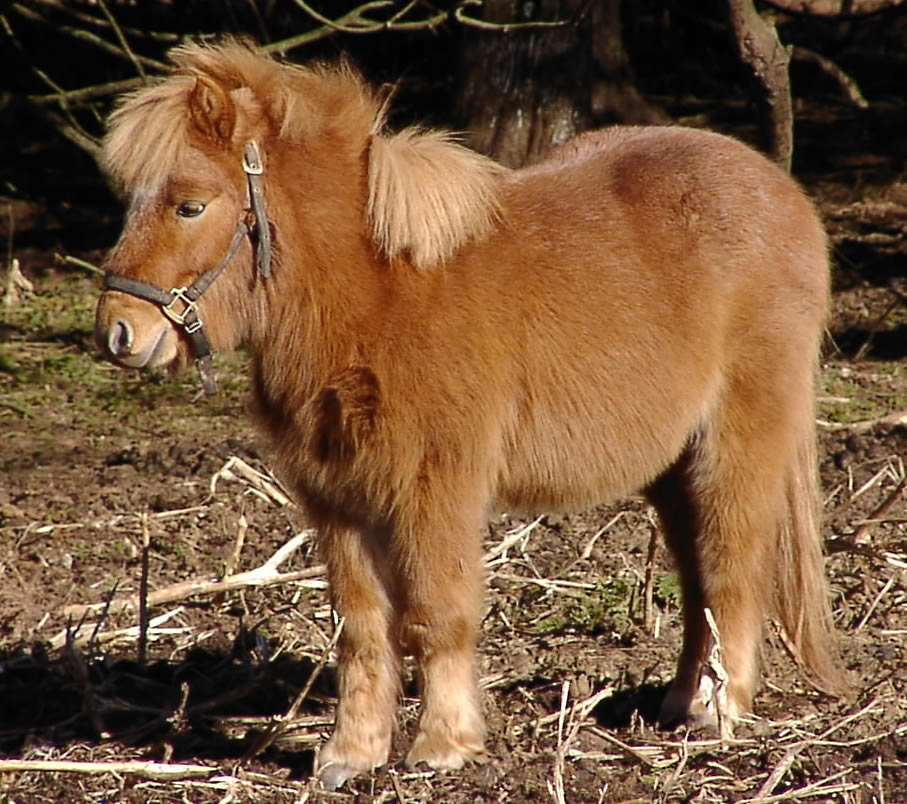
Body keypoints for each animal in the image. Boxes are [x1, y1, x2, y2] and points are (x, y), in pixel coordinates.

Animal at [96, 40, 840, 788]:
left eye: (190, 205)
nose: (118, 332)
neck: (379, 294)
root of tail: (781, 193)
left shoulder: (436, 487)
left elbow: (436, 613)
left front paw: (442, 744)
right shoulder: (340, 500)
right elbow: (362, 626)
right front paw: (351, 754)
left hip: (735, 440)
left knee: (731, 564)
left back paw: (717, 711)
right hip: (670, 464)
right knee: (696, 582)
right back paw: (681, 701)